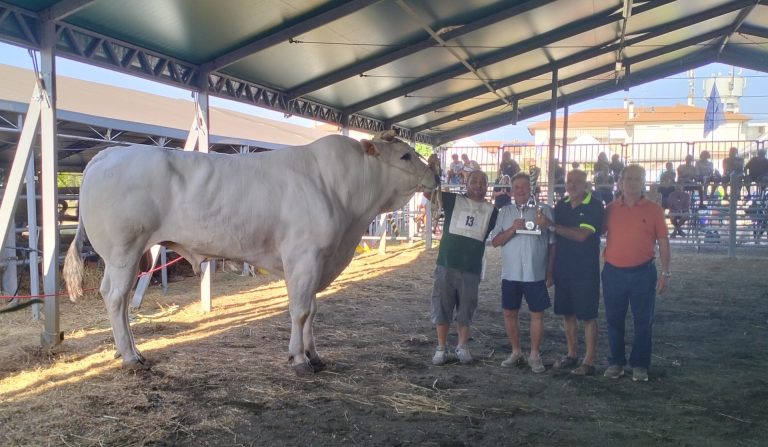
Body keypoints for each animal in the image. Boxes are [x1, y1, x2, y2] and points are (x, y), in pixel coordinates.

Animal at [64, 130, 438, 374]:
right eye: (405, 156)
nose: (436, 174)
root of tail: (110, 152)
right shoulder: (304, 257)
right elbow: (301, 311)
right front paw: (299, 359)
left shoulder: (318, 261)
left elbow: (313, 311)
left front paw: (314, 354)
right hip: (123, 251)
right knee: (115, 297)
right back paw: (131, 356)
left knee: (123, 299)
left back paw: (126, 350)